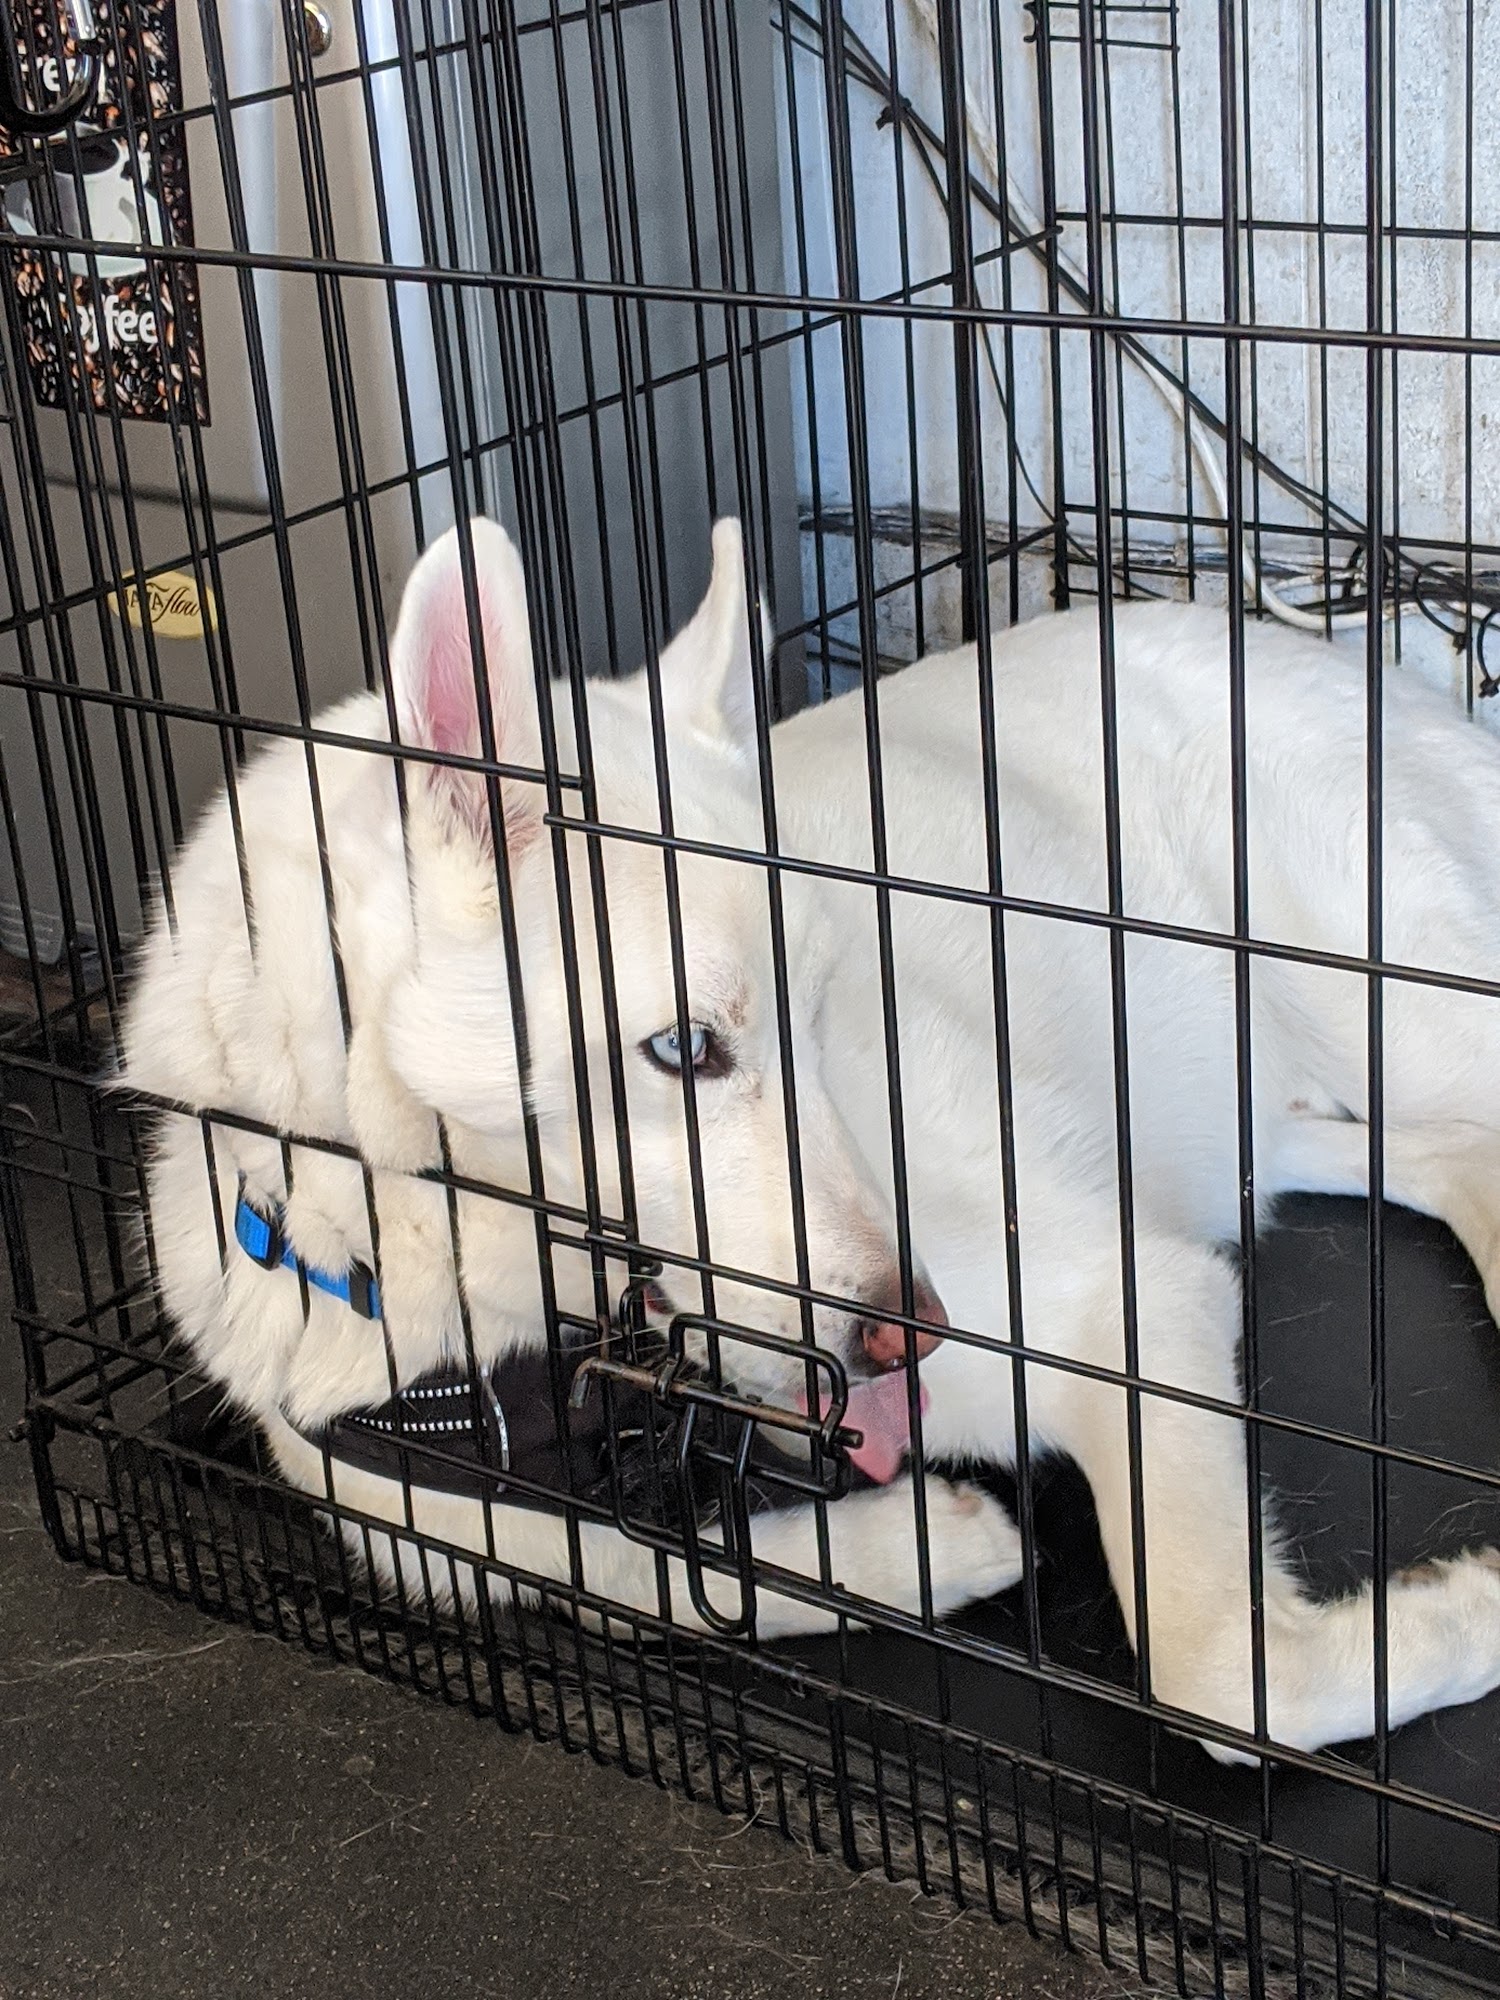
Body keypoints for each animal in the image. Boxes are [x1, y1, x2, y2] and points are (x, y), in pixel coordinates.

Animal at [124, 516, 1500, 1762]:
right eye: (685, 1046)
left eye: (827, 1010)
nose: (915, 1328)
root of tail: (1329, 656)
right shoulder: (436, 1509)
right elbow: (643, 1574)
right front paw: (922, 1544)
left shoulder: (1131, 1299)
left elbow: (1222, 1678)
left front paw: (1464, 1613)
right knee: (1429, 1152)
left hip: (1387, 995)